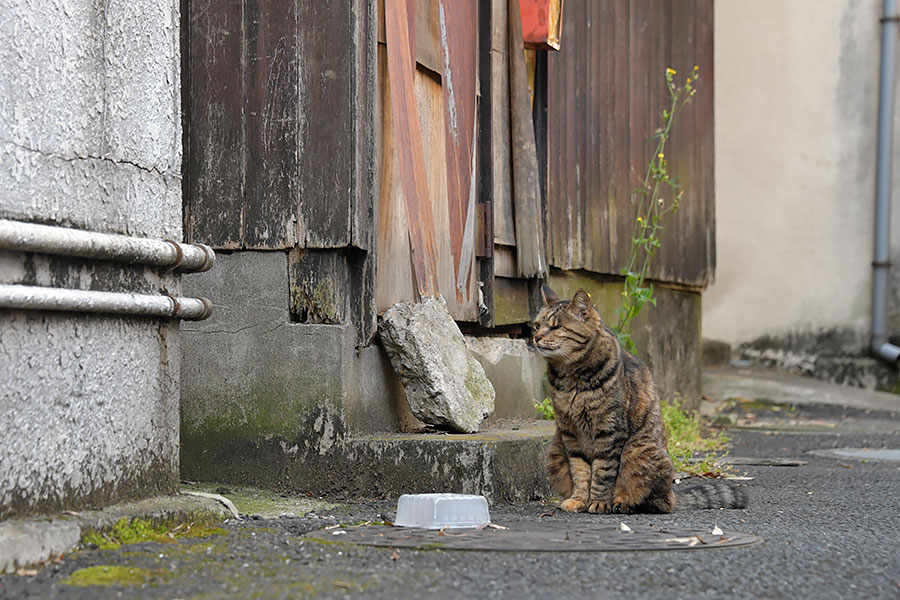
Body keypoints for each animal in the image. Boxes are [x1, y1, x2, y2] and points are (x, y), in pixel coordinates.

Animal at [536, 284, 744, 510]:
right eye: (536, 325)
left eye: (556, 327)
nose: (536, 337)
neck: (571, 377)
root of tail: (674, 494)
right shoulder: (570, 432)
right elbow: (580, 471)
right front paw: (579, 499)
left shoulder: (609, 430)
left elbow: (602, 472)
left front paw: (599, 502)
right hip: (556, 450)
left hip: (638, 451)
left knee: (658, 502)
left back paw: (623, 503)